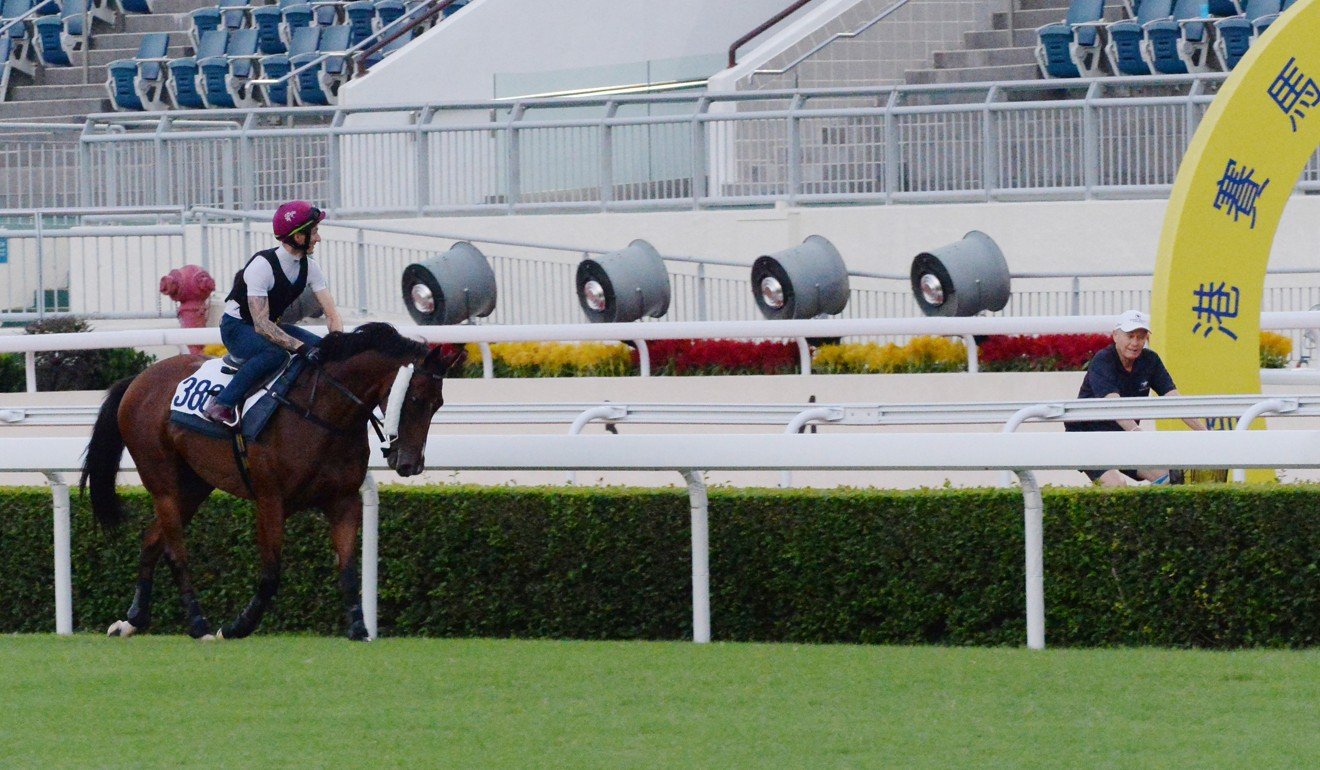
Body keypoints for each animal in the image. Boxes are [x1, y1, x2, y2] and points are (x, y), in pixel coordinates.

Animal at [79, 322, 464, 641]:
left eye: (439, 403)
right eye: (416, 398)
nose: (410, 464)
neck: (323, 413)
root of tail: (137, 380)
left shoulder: (344, 500)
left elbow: (348, 567)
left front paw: (358, 626)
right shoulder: (270, 499)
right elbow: (271, 573)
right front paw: (237, 626)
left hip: (193, 486)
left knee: (150, 541)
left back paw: (132, 620)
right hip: (164, 483)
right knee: (175, 551)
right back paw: (199, 624)